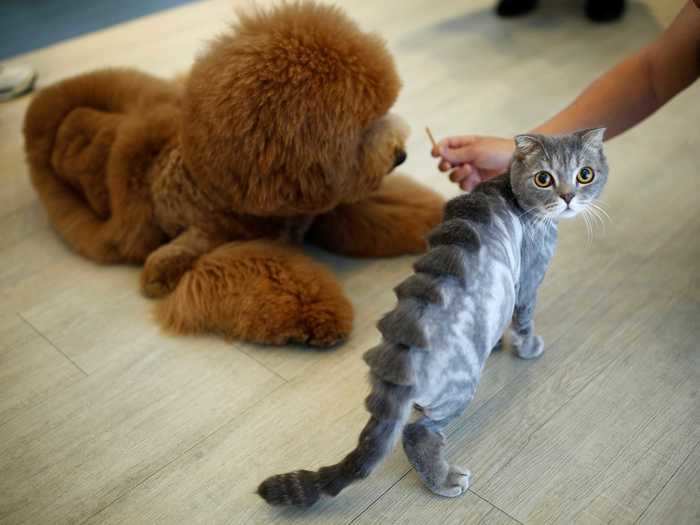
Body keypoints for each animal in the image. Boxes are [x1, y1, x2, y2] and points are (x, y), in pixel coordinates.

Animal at [256, 129, 608, 506]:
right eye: (544, 179)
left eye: (585, 174)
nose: (569, 197)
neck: (508, 190)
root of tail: (400, 354)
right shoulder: (528, 278)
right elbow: (524, 320)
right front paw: (528, 348)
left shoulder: (506, 291)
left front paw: (499, 341)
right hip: (460, 386)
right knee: (416, 432)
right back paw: (444, 479)